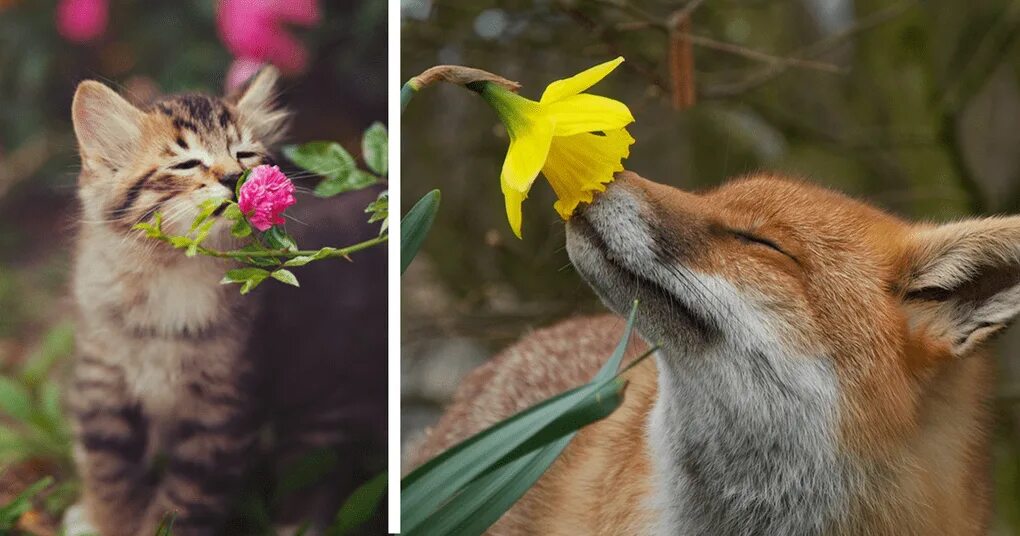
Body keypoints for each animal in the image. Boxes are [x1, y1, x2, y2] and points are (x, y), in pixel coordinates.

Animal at [65, 67, 385, 534]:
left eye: (244, 155)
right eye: (185, 163)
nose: (234, 178)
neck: (175, 271)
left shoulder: (224, 410)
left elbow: (183, 501)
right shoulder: (102, 382)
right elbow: (108, 471)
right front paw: (105, 521)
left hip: (322, 396)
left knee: (311, 472)